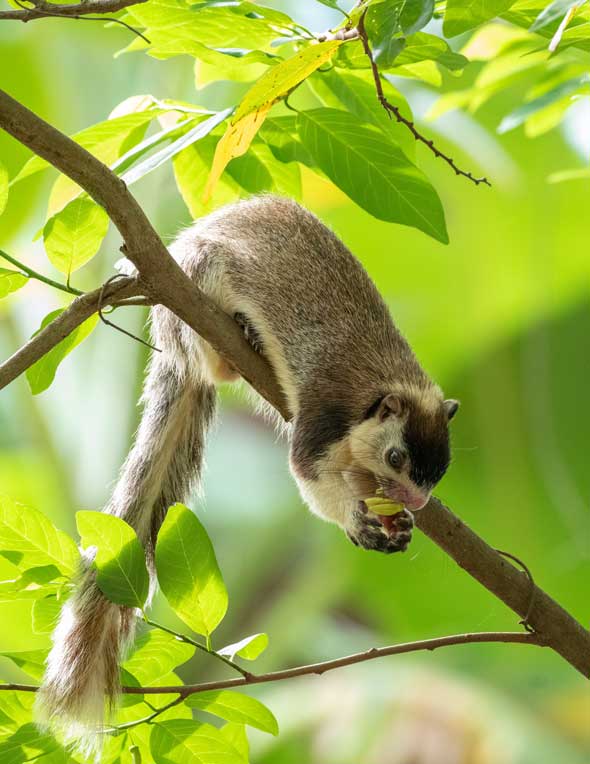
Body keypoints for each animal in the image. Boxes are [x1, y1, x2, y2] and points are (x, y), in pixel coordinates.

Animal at [38, 194, 462, 744]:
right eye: (397, 457)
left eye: (441, 469)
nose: (415, 502)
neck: (384, 384)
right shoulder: (324, 416)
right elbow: (309, 476)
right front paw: (357, 521)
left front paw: (397, 522)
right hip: (196, 287)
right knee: (210, 358)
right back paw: (239, 337)